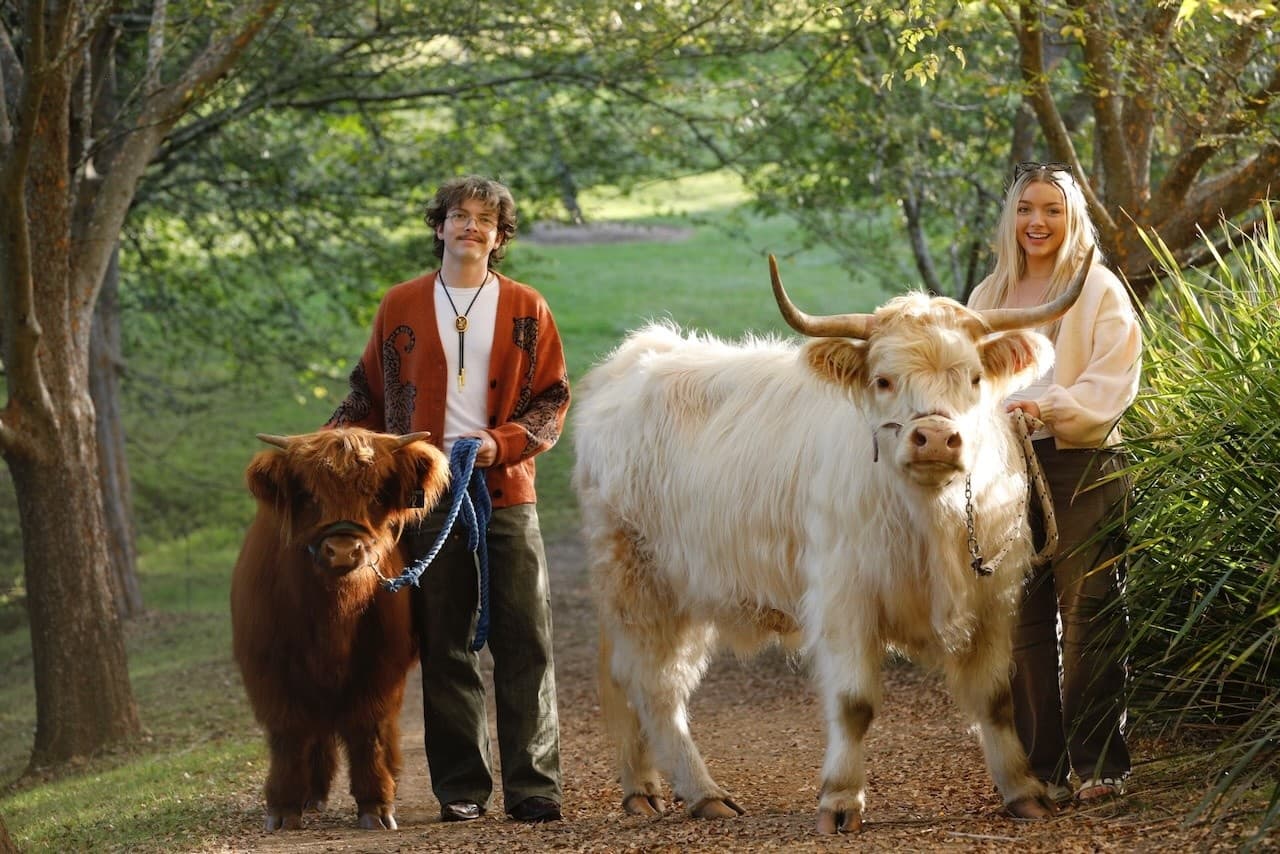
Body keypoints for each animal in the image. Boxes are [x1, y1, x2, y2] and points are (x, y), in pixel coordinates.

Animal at [230, 427, 449, 831]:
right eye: (309, 496)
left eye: (376, 495)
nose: (344, 551)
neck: (333, 618)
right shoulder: (267, 668)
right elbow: (288, 733)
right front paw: (284, 805)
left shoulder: (382, 668)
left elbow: (368, 730)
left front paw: (376, 804)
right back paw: (312, 794)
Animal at [573, 252, 1090, 833]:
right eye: (884, 380)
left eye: (975, 377)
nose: (935, 437)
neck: (929, 523)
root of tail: (634, 355)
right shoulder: (846, 598)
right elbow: (853, 703)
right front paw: (841, 800)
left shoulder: (993, 601)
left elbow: (997, 699)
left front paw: (1023, 790)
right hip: (640, 581)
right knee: (655, 688)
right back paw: (702, 792)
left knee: (632, 680)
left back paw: (642, 786)